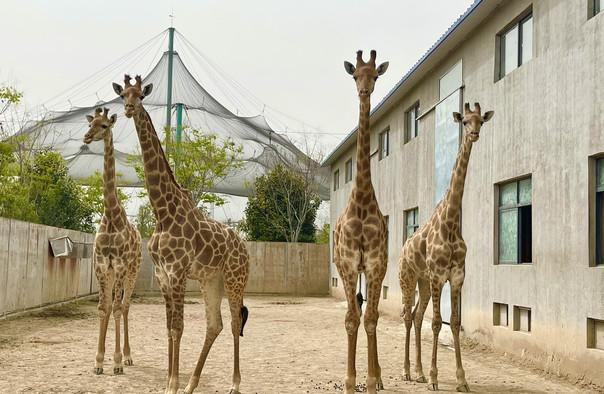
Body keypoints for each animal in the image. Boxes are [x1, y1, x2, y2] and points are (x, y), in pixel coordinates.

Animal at [113, 74, 250, 394]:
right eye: (123, 94)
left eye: (141, 95)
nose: (128, 109)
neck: (163, 212)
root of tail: (246, 249)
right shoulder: (163, 274)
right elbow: (169, 328)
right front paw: (170, 383)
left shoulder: (177, 272)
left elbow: (178, 327)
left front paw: (173, 383)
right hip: (211, 280)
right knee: (215, 325)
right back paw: (192, 384)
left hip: (235, 278)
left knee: (235, 322)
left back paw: (234, 384)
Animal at [398, 101, 494, 390]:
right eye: (464, 121)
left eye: (480, 121)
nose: (474, 134)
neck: (451, 224)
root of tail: (403, 250)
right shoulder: (439, 276)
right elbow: (438, 323)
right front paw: (433, 378)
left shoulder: (457, 276)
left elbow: (453, 322)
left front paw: (462, 380)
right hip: (408, 278)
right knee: (407, 316)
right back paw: (407, 372)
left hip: (423, 281)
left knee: (417, 316)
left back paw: (417, 372)